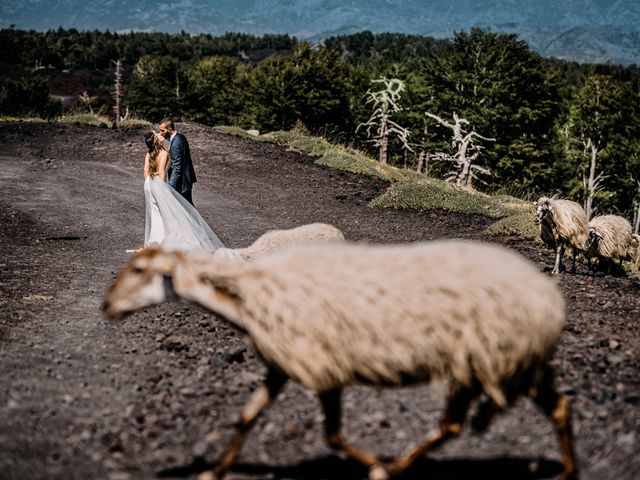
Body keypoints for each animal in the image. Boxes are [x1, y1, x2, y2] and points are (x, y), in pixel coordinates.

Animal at [104, 244, 580, 480]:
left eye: (142, 270)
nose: (106, 307)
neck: (248, 302)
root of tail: (549, 299)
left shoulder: (322, 367)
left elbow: (332, 435)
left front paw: (370, 464)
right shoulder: (283, 365)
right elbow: (247, 416)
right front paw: (216, 471)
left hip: (485, 357)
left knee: (452, 426)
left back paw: (391, 468)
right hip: (516, 361)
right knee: (557, 408)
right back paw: (566, 472)